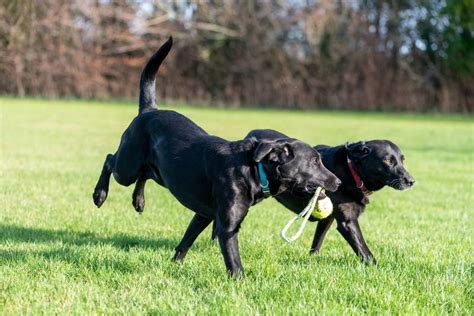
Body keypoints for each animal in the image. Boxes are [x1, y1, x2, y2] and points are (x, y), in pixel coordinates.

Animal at [91, 38, 340, 276]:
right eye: (314, 162)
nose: (338, 181)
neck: (253, 170)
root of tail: (149, 111)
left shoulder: (204, 214)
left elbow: (185, 241)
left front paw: (175, 265)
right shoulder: (227, 225)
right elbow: (234, 260)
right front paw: (240, 281)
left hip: (161, 174)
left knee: (144, 175)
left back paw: (138, 201)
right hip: (127, 166)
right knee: (110, 160)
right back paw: (99, 195)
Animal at [244, 128, 414, 264]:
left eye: (402, 160)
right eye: (388, 161)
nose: (411, 181)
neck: (352, 171)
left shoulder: (327, 219)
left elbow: (316, 243)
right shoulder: (348, 223)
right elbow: (365, 252)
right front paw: (376, 268)